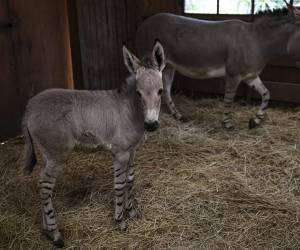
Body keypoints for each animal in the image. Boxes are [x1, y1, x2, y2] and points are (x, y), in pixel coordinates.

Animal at [22, 42, 165, 247]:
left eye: (160, 91)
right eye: (138, 93)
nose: (151, 125)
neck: (131, 110)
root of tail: (30, 107)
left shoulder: (132, 151)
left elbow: (130, 180)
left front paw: (131, 211)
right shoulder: (120, 153)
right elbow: (120, 184)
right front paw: (120, 221)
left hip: (47, 154)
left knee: (41, 184)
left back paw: (46, 231)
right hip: (57, 154)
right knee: (45, 185)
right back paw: (55, 234)